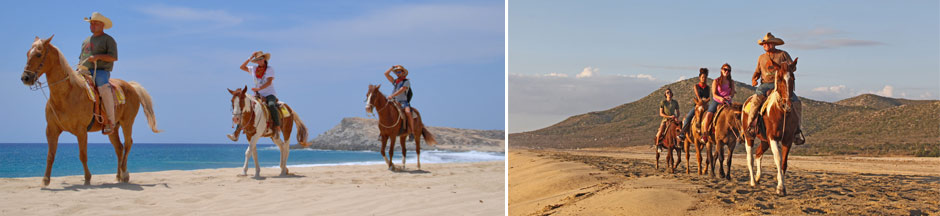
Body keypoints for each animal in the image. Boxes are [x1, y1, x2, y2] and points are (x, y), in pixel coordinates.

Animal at [19, 35, 160, 186]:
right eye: (27, 54)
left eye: (38, 54)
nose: (25, 78)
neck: (67, 94)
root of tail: (131, 86)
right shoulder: (51, 129)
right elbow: (50, 155)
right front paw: (45, 180)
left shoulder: (81, 130)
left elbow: (83, 155)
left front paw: (87, 178)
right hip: (113, 128)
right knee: (119, 148)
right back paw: (118, 176)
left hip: (127, 122)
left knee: (128, 144)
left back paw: (125, 174)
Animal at [740, 57, 800, 196]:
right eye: (779, 79)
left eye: (793, 78)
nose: (787, 105)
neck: (780, 112)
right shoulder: (772, 138)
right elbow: (777, 159)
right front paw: (780, 187)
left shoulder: (787, 139)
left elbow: (784, 163)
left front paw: (781, 184)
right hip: (749, 137)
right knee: (750, 158)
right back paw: (753, 181)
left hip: (764, 141)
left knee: (758, 154)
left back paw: (758, 178)